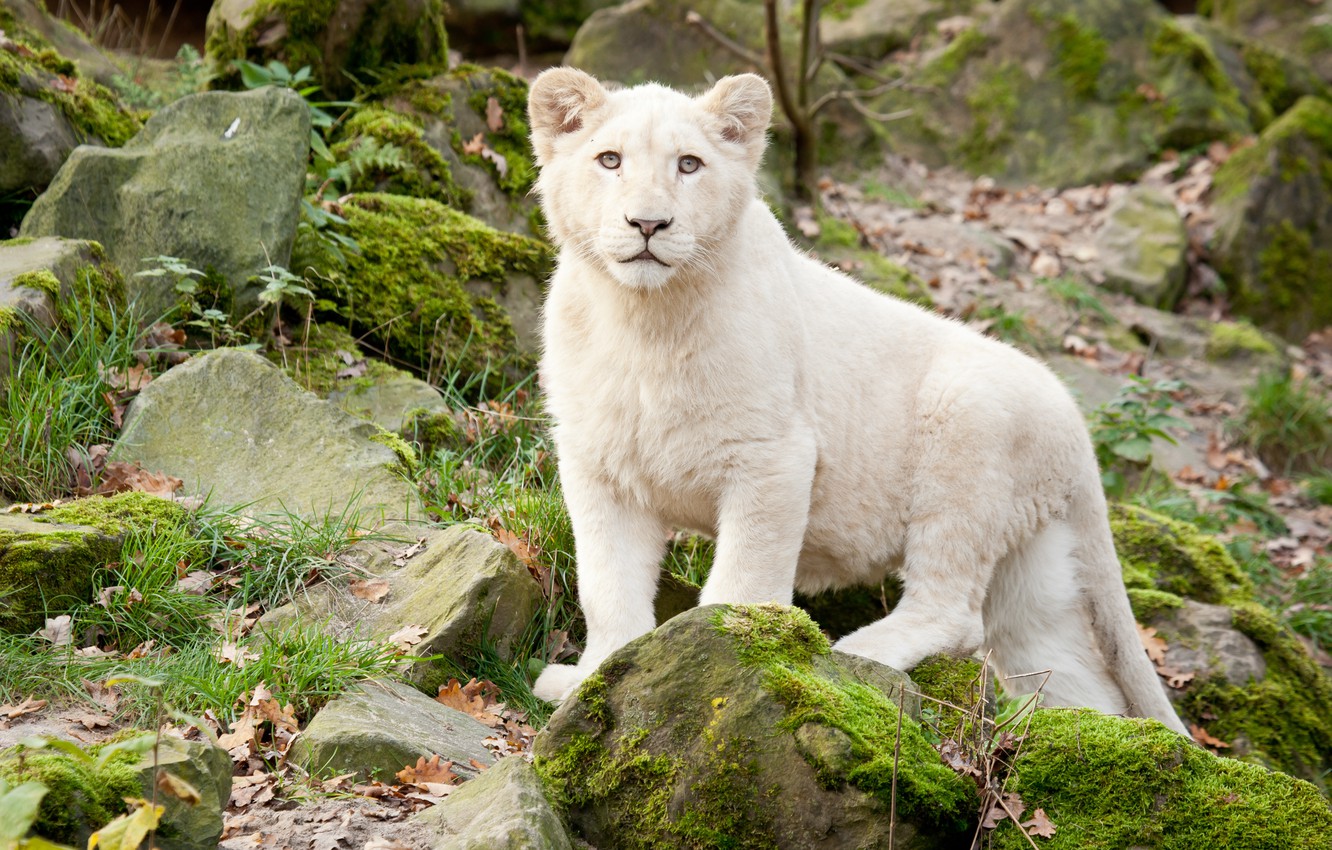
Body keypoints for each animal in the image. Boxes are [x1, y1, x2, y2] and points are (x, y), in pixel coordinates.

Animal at [525, 66, 1187, 735]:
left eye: (690, 164)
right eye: (609, 160)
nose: (648, 224)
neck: (644, 320)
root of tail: (1076, 424)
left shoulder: (774, 457)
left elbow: (741, 580)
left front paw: (718, 660)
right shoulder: (598, 466)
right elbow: (607, 585)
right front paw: (592, 679)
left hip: (966, 434)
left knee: (955, 613)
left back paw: (858, 656)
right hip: (1033, 563)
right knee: (1067, 669)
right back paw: (1098, 737)